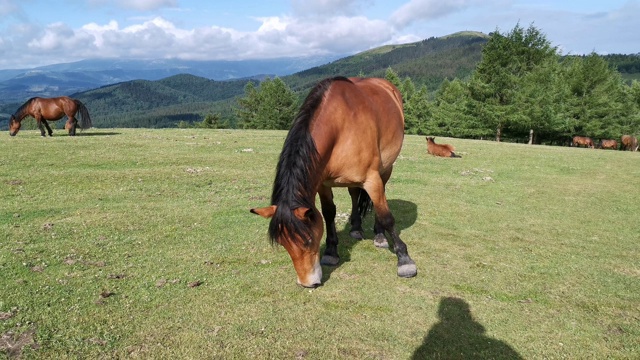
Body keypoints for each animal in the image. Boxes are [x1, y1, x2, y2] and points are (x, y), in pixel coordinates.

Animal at [250, 77, 420, 288]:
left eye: (308, 240)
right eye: (283, 243)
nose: (308, 283)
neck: (339, 127)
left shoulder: (372, 179)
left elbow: (387, 216)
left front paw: (404, 260)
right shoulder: (323, 184)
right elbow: (329, 213)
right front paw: (331, 252)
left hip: (386, 169)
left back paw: (379, 235)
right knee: (354, 194)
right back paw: (355, 228)